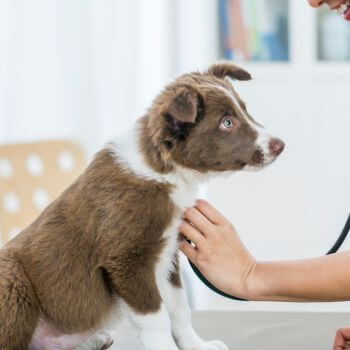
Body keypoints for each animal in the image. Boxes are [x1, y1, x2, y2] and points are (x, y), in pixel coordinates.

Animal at [0, 63, 284, 350]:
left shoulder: (167, 256)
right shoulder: (127, 261)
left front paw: (197, 345)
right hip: (12, 281)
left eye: (244, 110)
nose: (280, 145)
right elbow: (156, 319)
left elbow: (180, 310)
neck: (165, 171)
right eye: (227, 123)